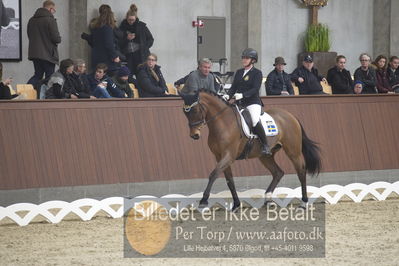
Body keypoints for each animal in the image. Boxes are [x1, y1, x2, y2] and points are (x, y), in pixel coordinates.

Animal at [181, 90, 322, 212]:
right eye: (185, 112)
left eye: (195, 110)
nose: (194, 135)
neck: (223, 123)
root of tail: (291, 116)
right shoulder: (219, 156)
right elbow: (229, 181)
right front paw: (236, 205)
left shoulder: (228, 155)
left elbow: (213, 174)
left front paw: (203, 201)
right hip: (265, 156)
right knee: (278, 172)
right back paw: (268, 200)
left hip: (293, 151)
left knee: (301, 171)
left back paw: (303, 203)